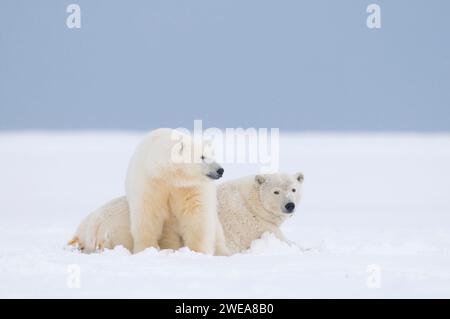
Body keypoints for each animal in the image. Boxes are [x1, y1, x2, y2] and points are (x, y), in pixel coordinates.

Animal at [125, 127, 225, 255]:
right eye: (202, 156)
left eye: (212, 154)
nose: (220, 170)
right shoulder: (150, 182)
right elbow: (147, 214)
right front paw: (145, 249)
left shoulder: (190, 187)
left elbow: (196, 217)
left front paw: (196, 252)